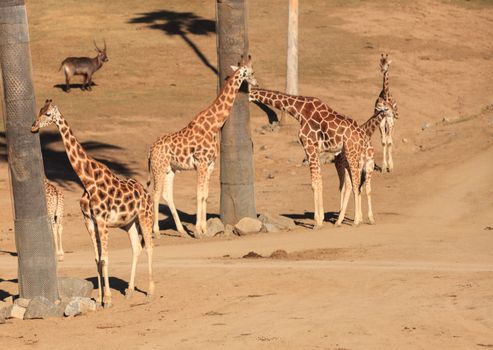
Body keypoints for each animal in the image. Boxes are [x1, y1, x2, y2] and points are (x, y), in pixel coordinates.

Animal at [31, 100, 154, 308]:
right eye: (39, 111)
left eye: (47, 114)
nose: (33, 126)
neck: (87, 180)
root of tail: (148, 195)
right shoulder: (89, 221)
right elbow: (96, 258)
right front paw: (99, 298)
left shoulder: (102, 220)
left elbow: (105, 258)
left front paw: (109, 300)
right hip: (129, 223)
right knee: (137, 248)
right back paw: (129, 290)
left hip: (145, 217)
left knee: (150, 247)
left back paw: (151, 290)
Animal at [148, 55, 258, 238]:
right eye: (252, 72)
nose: (256, 82)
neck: (214, 125)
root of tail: (150, 151)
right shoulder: (201, 163)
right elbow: (199, 193)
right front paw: (198, 230)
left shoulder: (211, 164)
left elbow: (205, 195)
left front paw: (205, 229)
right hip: (159, 167)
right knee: (155, 194)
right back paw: (155, 232)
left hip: (171, 169)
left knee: (166, 194)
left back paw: (181, 231)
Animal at [250, 88, 388, 227]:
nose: (386, 110)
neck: (299, 110)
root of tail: (362, 135)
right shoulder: (315, 150)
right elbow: (320, 181)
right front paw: (321, 218)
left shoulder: (309, 147)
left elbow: (314, 183)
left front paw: (317, 222)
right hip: (350, 157)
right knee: (353, 184)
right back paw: (349, 219)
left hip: (352, 154)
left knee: (355, 184)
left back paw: (356, 220)